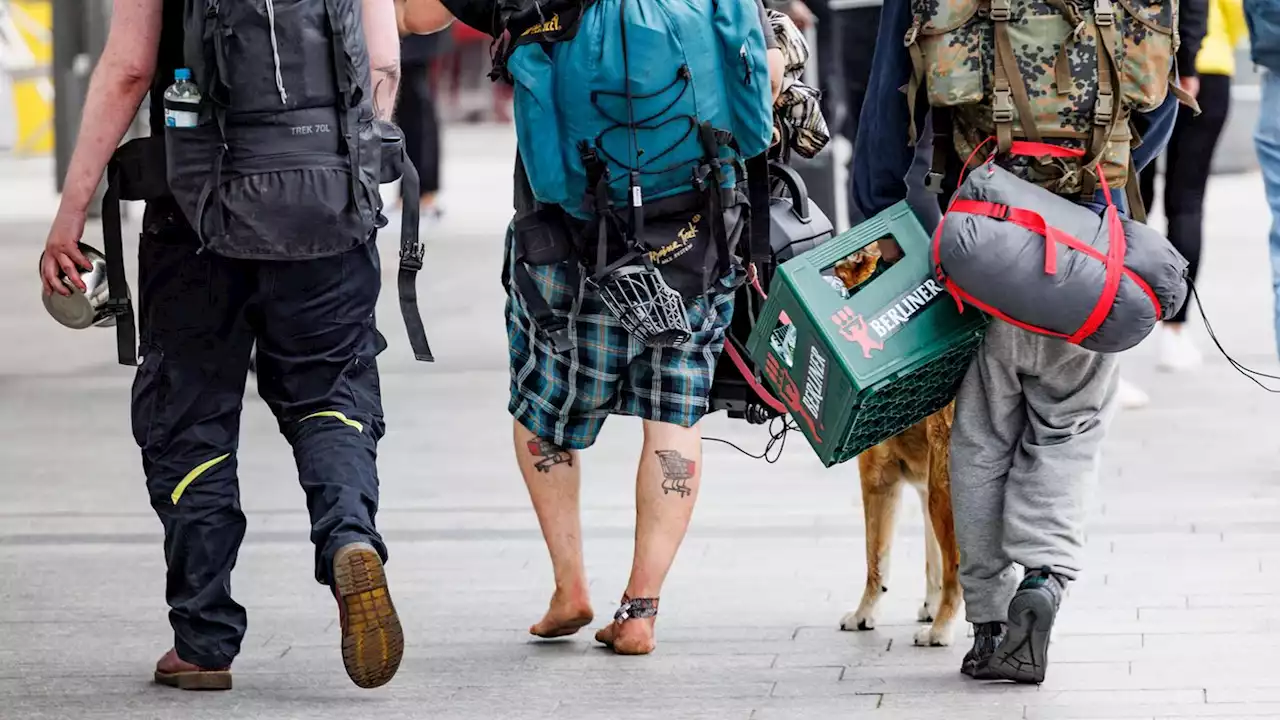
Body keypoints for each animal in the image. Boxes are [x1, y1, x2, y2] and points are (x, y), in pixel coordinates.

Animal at [824, 244, 957, 645]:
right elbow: (932, 561)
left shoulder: (878, 478)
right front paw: (929, 605)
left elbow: (876, 560)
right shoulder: (924, 488)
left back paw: (941, 630)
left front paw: (864, 615)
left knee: (958, 571)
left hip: (945, 491)